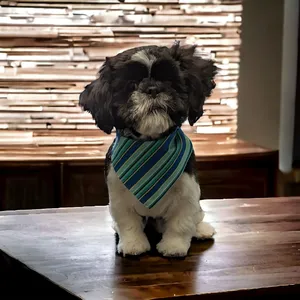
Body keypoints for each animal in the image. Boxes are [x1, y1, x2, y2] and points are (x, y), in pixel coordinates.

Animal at [78, 41, 217, 258]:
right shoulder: (119, 196)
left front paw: (174, 246)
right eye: (131, 86)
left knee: (197, 216)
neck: (150, 143)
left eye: (168, 80)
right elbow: (128, 222)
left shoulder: (187, 192)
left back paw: (201, 229)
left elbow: (181, 222)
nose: (152, 89)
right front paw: (133, 244)